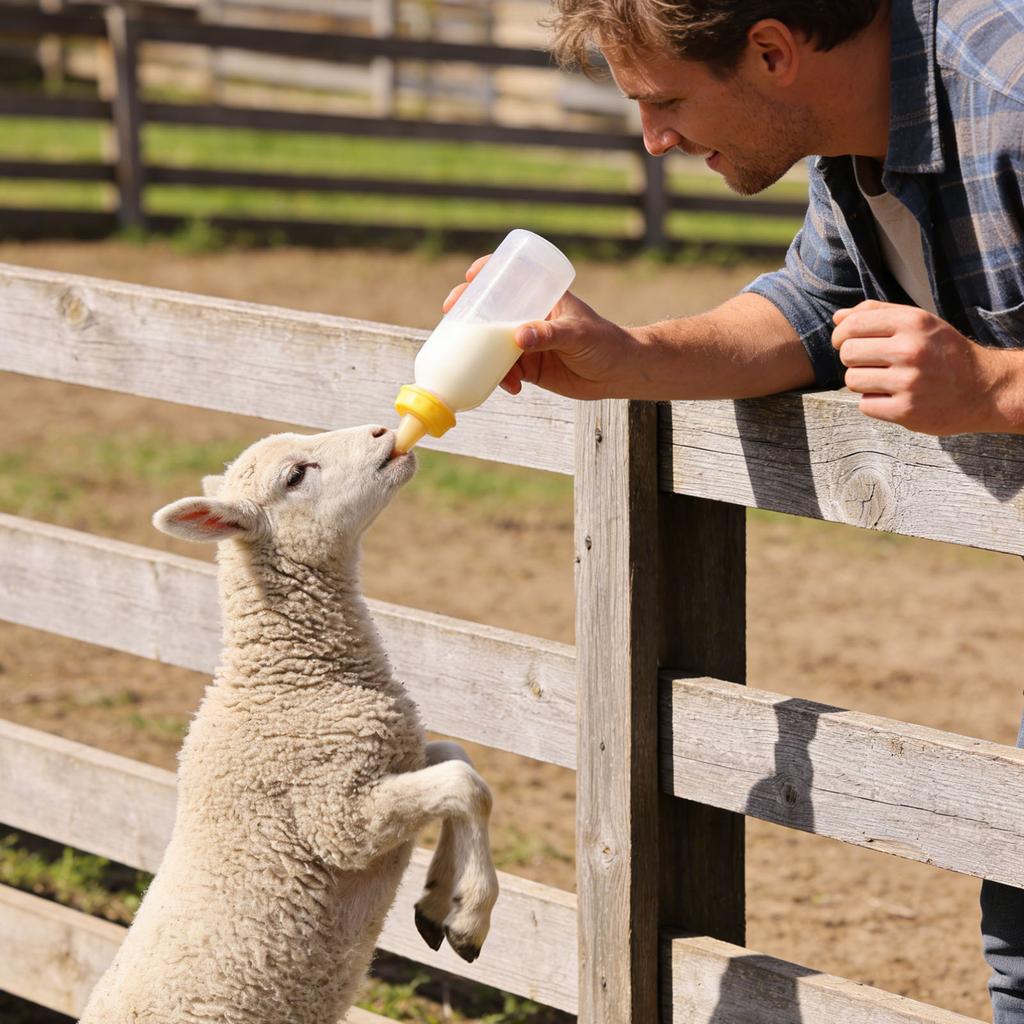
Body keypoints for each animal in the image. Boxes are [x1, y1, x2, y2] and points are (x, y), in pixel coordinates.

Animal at [79, 424, 499, 1024]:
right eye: (296, 475)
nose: (383, 430)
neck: (285, 676)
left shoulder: (389, 754)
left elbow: (457, 760)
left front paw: (441, 898)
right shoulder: (335, 817)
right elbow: (465, 786)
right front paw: (470, 917)